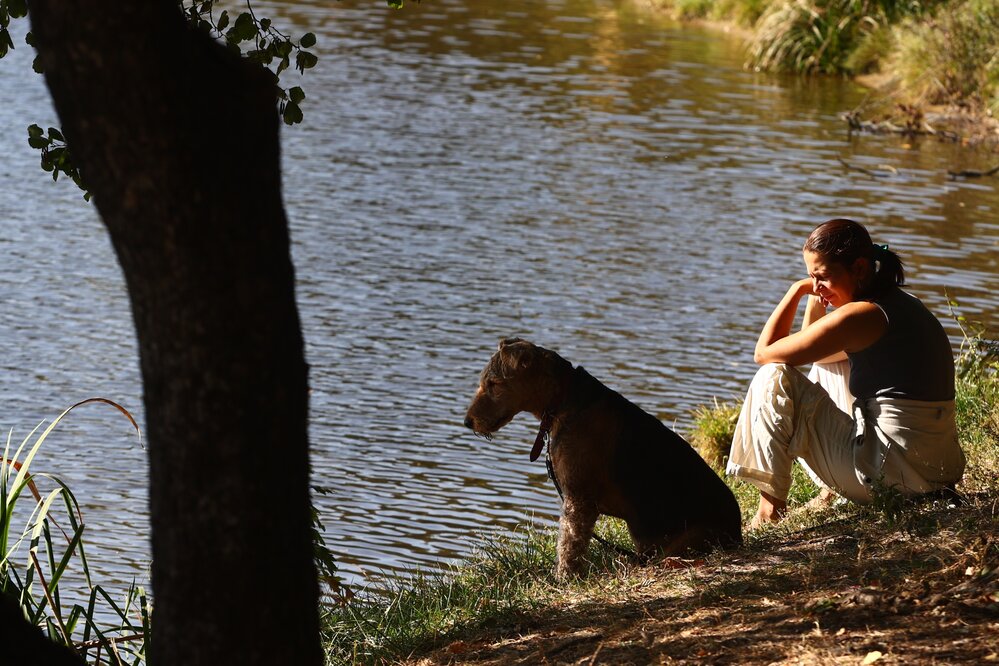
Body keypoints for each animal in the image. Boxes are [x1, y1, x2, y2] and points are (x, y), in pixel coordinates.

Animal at [462, 338, 744, 576]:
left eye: (494, 384)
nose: (467, 422)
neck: (562, 400)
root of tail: (737, 535)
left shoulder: (578, 498)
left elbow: (569, 546)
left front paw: (564, 579)